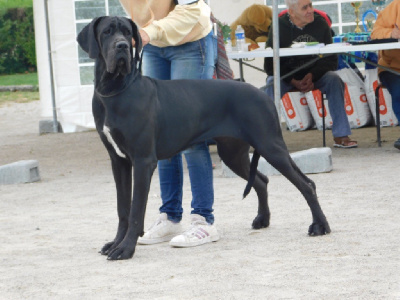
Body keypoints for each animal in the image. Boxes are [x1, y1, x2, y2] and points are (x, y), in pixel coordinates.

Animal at [76, 16, 330, 260]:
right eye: (107, 32)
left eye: (128, 33)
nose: (121, 46)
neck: (116, 89)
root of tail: (264, 94)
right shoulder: (118, 161)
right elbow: (123, 209)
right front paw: (115, 243)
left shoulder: (142, 161)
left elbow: (136, 209)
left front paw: (126, 249)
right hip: (233, 153)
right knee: (261, 180)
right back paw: (262, 219)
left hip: (270, 145)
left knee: (306, 184)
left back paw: (320, 226)